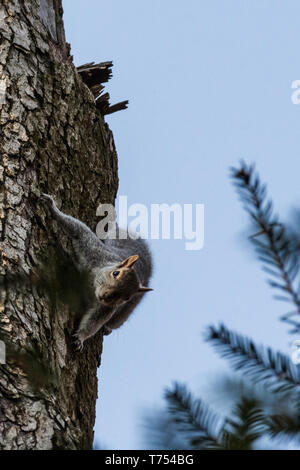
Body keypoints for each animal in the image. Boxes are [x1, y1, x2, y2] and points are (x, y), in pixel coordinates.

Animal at [40, 193, 152, 350]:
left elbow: (93, 323)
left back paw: (108, 328)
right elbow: (79, 231)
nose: (106, 296)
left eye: (127, 298)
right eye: (115, 273)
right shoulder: (95, 252)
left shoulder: (106, 309)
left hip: (123, 314)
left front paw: (80, 338)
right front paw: (53, 209)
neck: (92, 286)